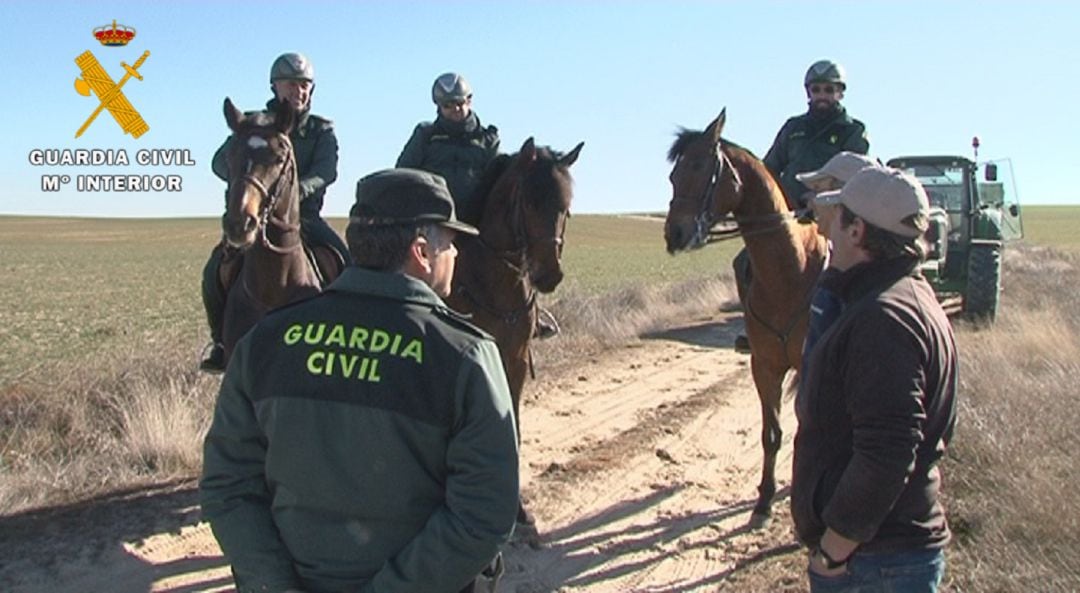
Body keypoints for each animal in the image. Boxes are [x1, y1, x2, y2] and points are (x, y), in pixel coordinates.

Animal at [446, 136, 583, 523]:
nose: (549, 275)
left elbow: (514, 426)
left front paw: (519, 508)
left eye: (566, 208)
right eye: (530, 202)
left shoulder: (516, 359)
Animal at [663, 109, 826, 527]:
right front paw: (764, 501)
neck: (789, 270)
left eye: (702, 168)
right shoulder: (764, 365)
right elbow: (772, 434)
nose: (675, 234)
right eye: (674, 175)